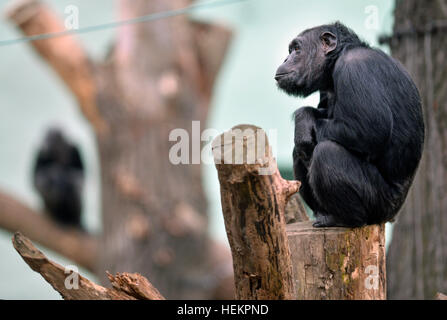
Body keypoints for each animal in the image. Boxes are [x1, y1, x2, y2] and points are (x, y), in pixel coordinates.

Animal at [274, 21, 426, 228]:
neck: (335, 61)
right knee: (299, 151)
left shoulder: (355, 68)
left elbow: (368, 130)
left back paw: (342, 219)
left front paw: (303, 121)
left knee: (327, 153)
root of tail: (391, 215)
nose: (286, 58)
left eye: (297, 49)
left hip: (379, 204)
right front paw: (304, 114)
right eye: (291, 50)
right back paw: (323, 213)